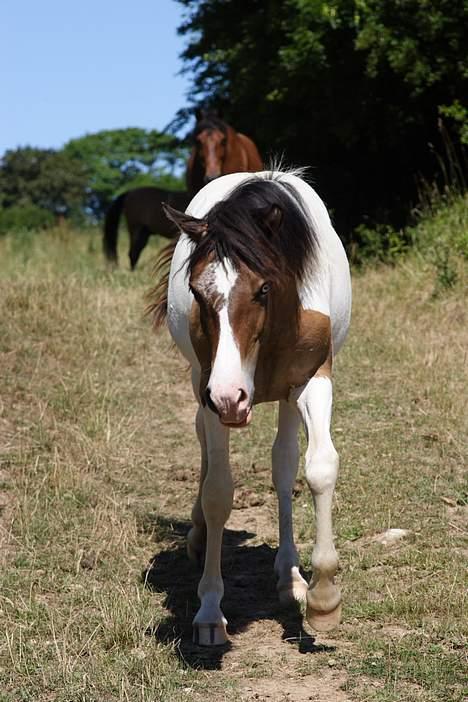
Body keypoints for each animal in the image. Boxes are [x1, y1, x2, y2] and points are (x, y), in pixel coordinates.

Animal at [150, 170, 352, 648]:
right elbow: (218, 491)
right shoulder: (209, 387)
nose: (231, 396)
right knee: (205, 448)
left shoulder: (313, 379)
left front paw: (322, 598)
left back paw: (289, 575)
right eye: (195, 290)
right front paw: (209, 610)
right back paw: (199, 537)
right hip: (201, 385)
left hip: (284, 396)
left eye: (263, 288)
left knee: (283, 464)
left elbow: (318, 468)